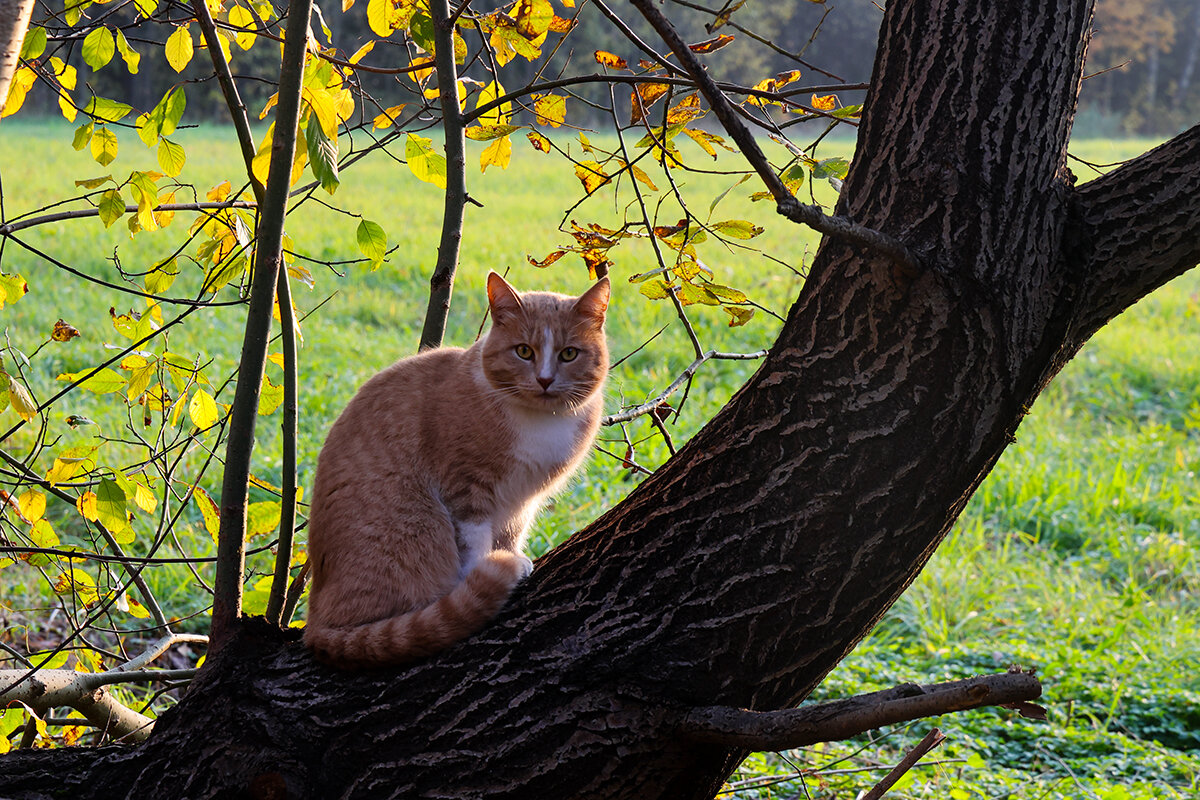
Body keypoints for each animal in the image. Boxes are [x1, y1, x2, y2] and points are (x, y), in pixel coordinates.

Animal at [304, 273, 609, 671]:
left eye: (568, 354)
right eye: (524, 351)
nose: (544, 380)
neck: (541, 423)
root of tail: (314, 622)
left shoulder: (523, 500)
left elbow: (511, 532)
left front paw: (513, 555)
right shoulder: (466, 484)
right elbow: (475, 539)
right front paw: (485, 570)